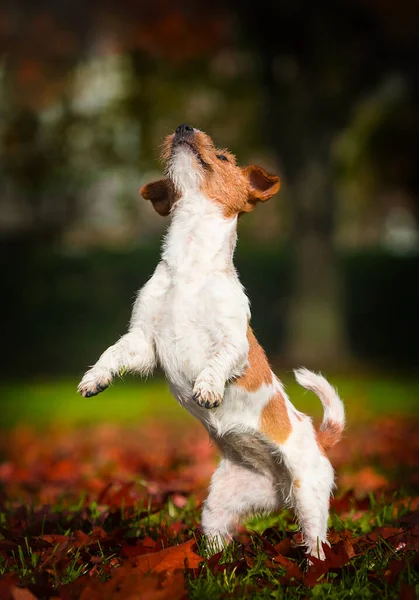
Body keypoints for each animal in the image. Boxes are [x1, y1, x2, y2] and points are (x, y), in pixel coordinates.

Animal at [78, 124, 344, 560]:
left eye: (222, 157)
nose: (184, 127)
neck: (190, 263)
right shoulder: (143, 341)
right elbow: (112, 353)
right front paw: (95, 378)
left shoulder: (232, 341)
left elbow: (216, 362)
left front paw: (207, 387)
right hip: (220, 504)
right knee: (220, 535)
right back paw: (209, 564)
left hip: (308, 494)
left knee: (316, 538)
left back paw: (315, 565)